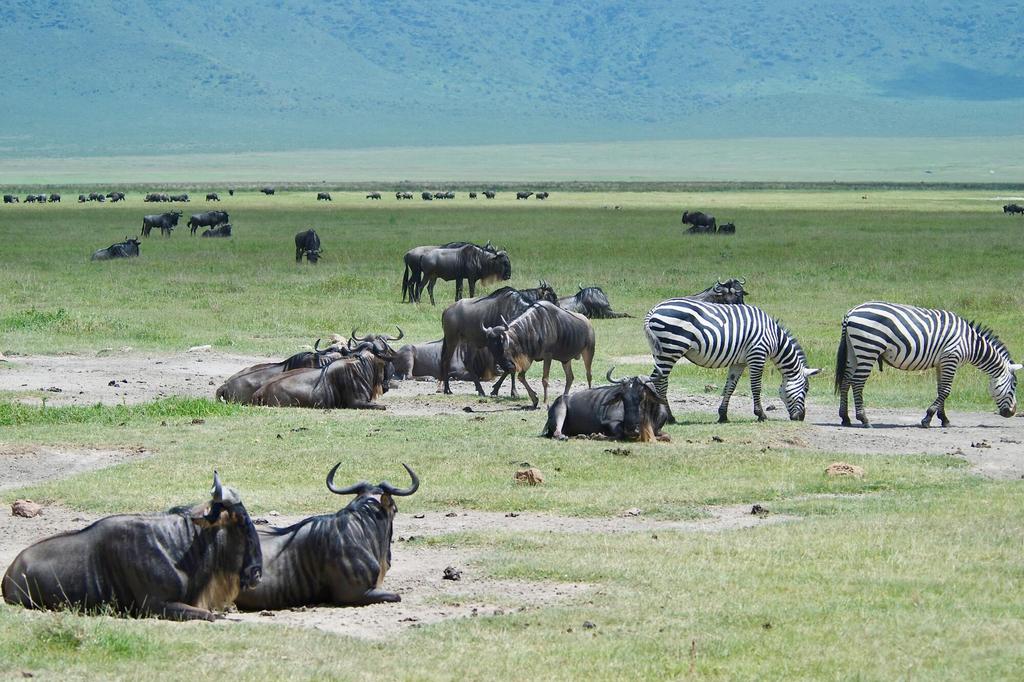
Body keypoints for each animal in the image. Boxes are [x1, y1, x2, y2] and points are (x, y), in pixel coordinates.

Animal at [644, 300, 821, 423]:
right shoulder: (757, 354)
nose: (801, 418)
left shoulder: (739, 362)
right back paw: (669, 417)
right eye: (806, 390)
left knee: (659, 380)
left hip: (661, 352)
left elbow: (730, 386)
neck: (775, 339)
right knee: (660, 383)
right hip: (671, 348)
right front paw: (761, 414)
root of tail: (654, 310)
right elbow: (756, 387)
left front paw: (723, 415)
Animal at [835, 301, 1021, 428]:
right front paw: (927, 419)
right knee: (857, 383)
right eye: (1014, 386)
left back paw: (845, 418)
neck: (970, 343)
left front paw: (944, 419)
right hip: (868, 349)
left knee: (845, 381)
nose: (1011, 413)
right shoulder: (951, 358)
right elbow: (946, 391)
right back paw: (864, 419)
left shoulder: (942, 363)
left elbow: (941, 390)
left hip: (853, 351)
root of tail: (851, 312)